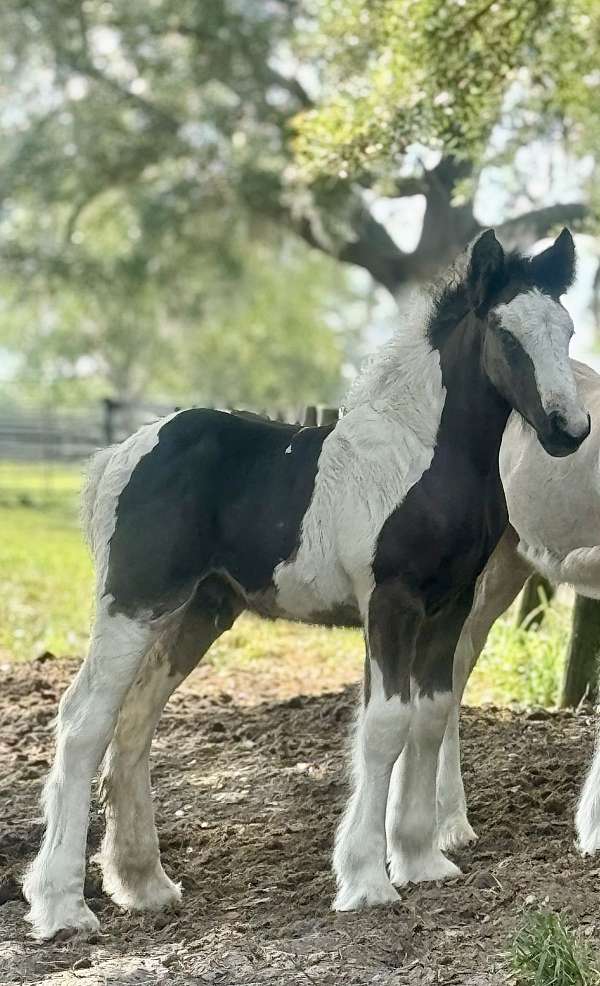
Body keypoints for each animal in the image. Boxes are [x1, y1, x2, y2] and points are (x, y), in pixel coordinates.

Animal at [24, 227, 592, 936]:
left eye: (566, 330)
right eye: (505, 332)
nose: (569, 430)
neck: (420, 459)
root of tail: (118, 456)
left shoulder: (450, 605)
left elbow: (432, 715)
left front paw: (421, 859)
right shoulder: (391, 604)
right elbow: (385, 725)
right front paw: (368, 881)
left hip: (198, 612)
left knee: (135, 720)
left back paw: (144, 883)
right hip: (134, 604)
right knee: (84, 722)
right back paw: (62, 906)